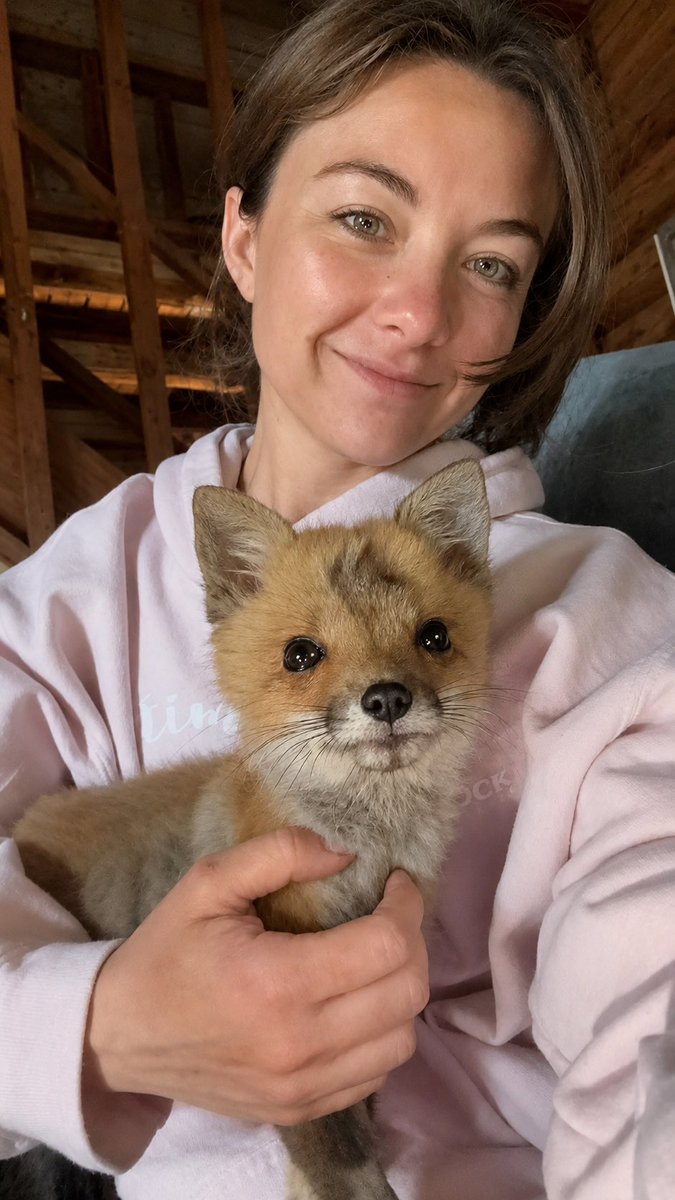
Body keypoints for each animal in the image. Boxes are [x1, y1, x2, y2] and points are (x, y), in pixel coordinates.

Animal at [13, 458, 492, 1200]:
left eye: (434, 637)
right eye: (301, 655)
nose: (386, 699)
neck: (367, 852)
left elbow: (356, 1123)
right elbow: (342, 1159)